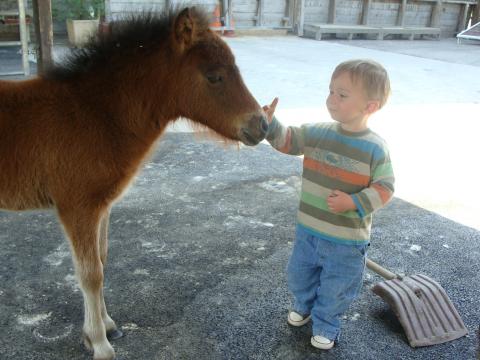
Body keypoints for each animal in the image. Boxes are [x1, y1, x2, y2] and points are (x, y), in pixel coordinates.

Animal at [0, 7, 266, 358]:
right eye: (214, 76)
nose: (262, 125)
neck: (94, 115)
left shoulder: (100, 207)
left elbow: (101, 260)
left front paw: (105, 327)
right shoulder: (76, 207)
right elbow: (90, 274)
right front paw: (99, 343)